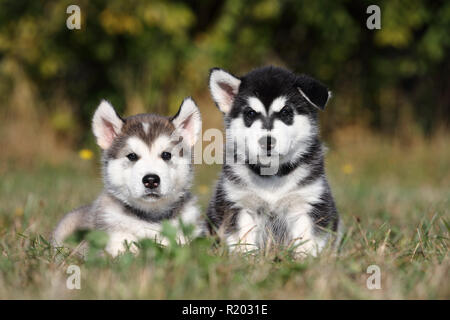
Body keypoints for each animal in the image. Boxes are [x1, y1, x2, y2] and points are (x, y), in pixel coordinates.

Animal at [207, 66, 342, 256]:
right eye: (250, 113)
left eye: (286, 112)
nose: (267, 141)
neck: (272, 176)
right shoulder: (238, 202)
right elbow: (243, 236)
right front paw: (246, 257)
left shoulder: (308, 200)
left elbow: (307, 236)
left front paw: (305, 258)